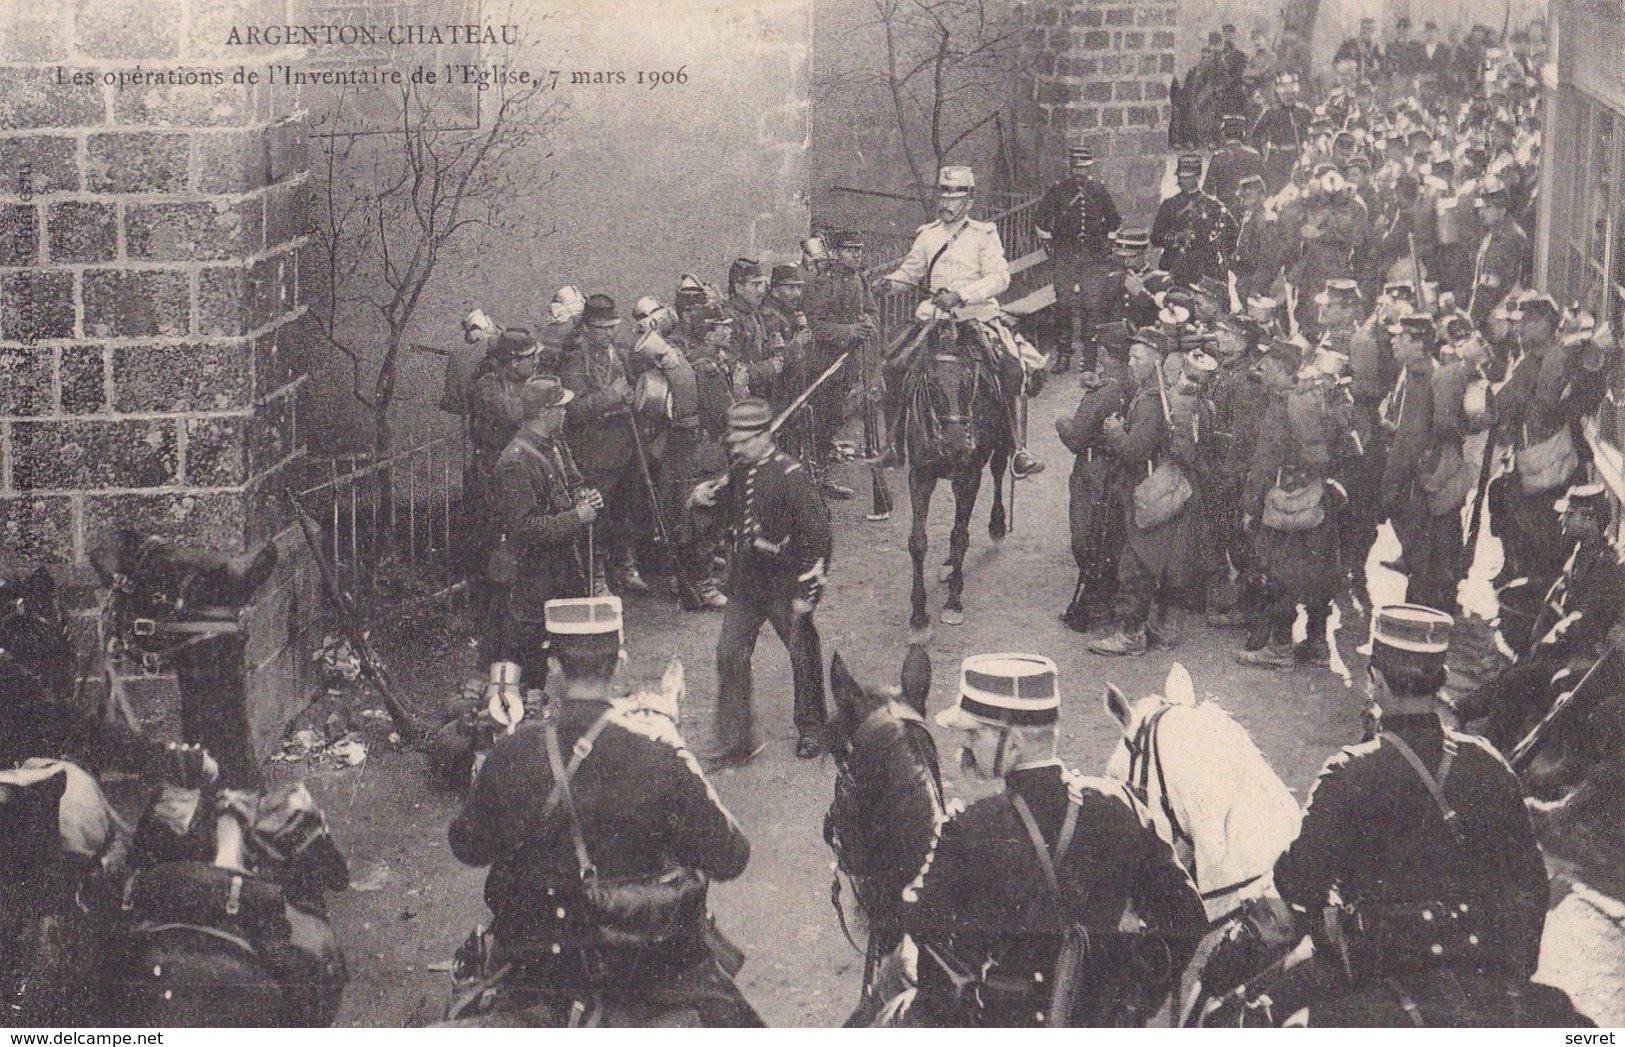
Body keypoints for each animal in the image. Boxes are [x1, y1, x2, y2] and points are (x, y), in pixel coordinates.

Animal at [897, 320, 1007, 630]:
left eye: (969, 379)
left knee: (999, 471)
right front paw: (919, 613)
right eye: (930, 383)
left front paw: (953, 603)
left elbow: (960, 536)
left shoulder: (968, 477)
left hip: (1002, 443)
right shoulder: (921, 476)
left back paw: (997, 526)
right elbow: (918, 541)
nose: (957, 443)